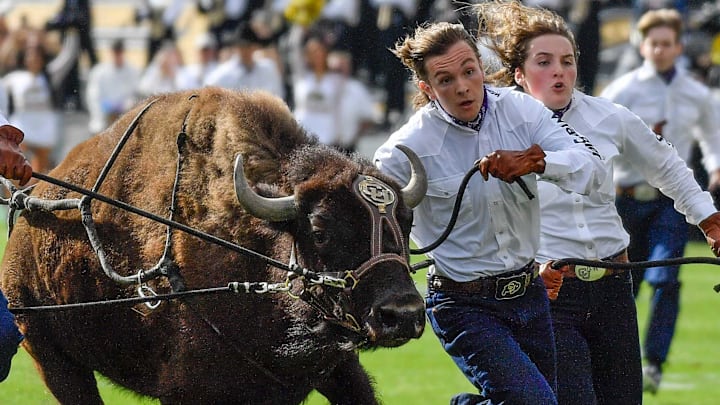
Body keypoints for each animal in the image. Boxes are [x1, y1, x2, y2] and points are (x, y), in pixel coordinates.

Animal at [0, 87, 427, 404]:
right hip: (48, 352)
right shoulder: (189, 391)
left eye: (407, 223)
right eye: (320, 230)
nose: (403, 314)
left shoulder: (337, 369)